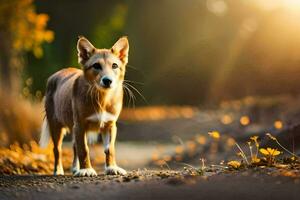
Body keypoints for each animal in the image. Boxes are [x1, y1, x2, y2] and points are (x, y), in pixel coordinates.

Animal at [39, 36, 128, 177]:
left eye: (114, 65)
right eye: (96, 65)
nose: (107, 81)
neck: (102, 99)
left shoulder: (110, 125)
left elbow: (110, 149)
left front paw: (112, 167)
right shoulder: (80, 125)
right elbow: (84, 149)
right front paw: (86, 169)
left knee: (74, 146)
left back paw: (76, 168)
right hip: (56, 126)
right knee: (57, 149)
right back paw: (58, 170)